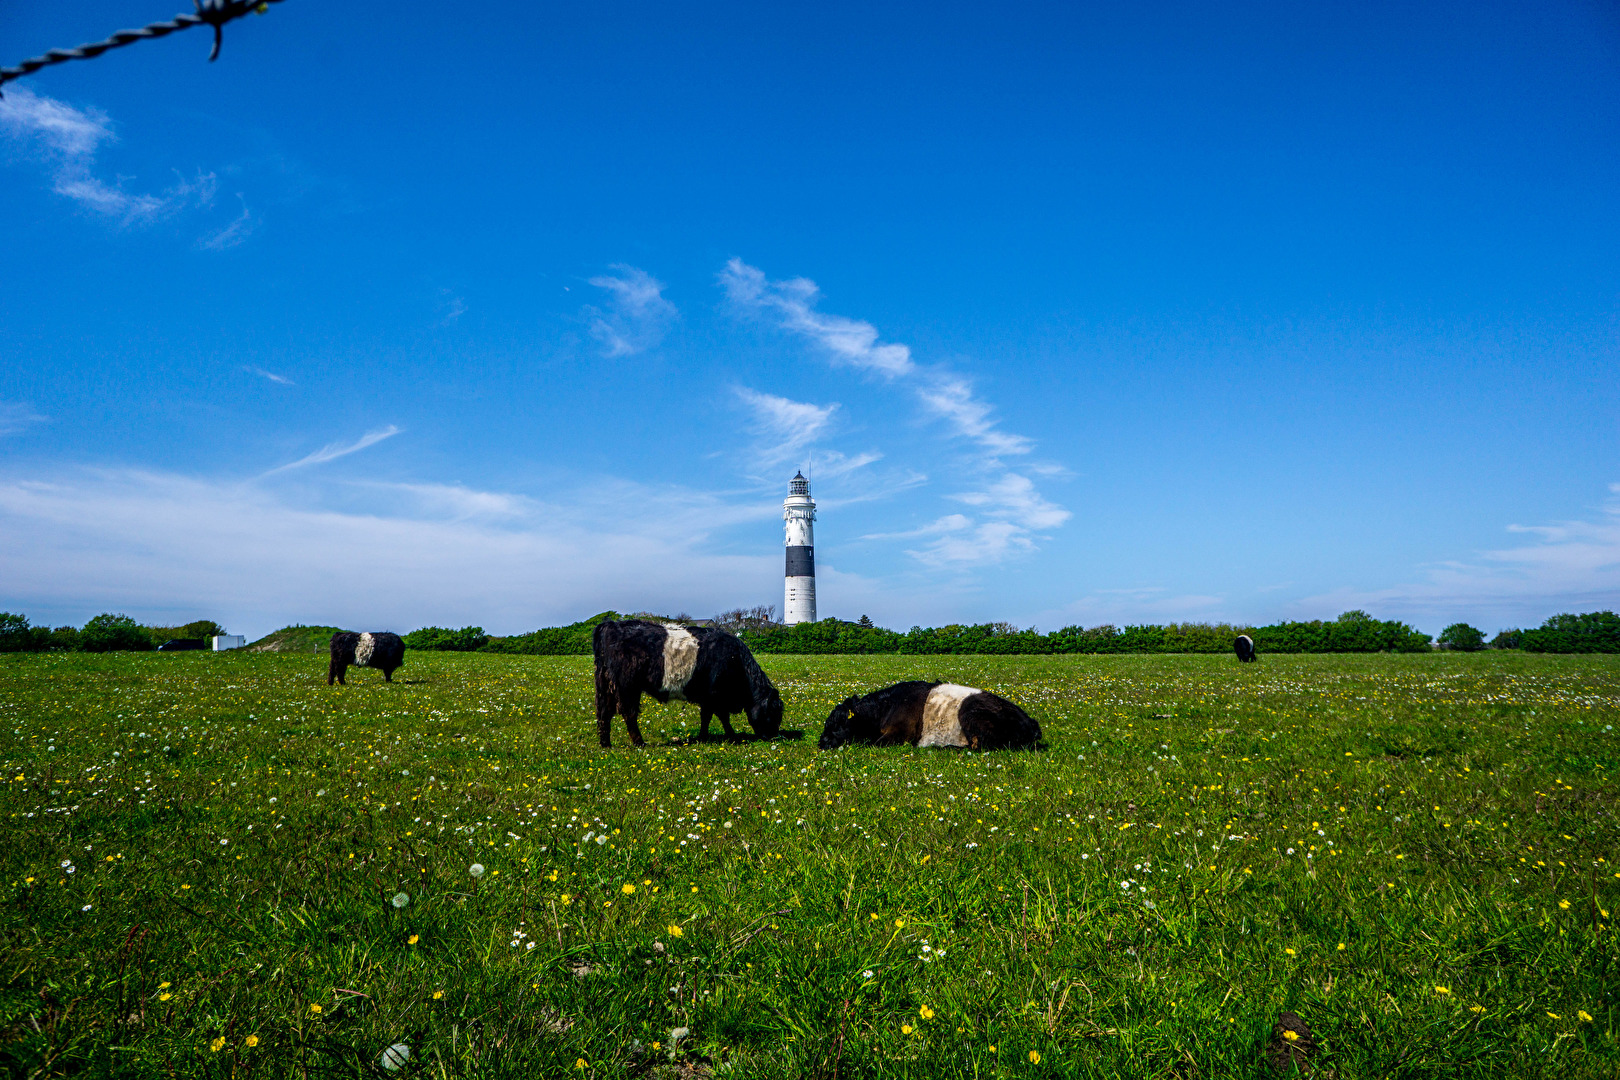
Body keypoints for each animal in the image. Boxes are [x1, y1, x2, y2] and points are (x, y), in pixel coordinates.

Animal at [589, 621, 784, 748]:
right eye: (774, 712)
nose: (773, 737)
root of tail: (610, 625)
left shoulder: (708, 698)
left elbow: (706, 717)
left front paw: (703, 737)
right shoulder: (715, 696)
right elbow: (722, 717)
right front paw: (732, 736)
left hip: (605, 685)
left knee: (604, 712)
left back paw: (606, 744)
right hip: (628, 687)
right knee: (628, 713)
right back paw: (639, 742)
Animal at [816, 683, 1043, 751]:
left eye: (837, 723)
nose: (821, 742)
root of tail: (1032, 722)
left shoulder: (899, 734)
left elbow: (873, 744)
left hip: (970, 713)